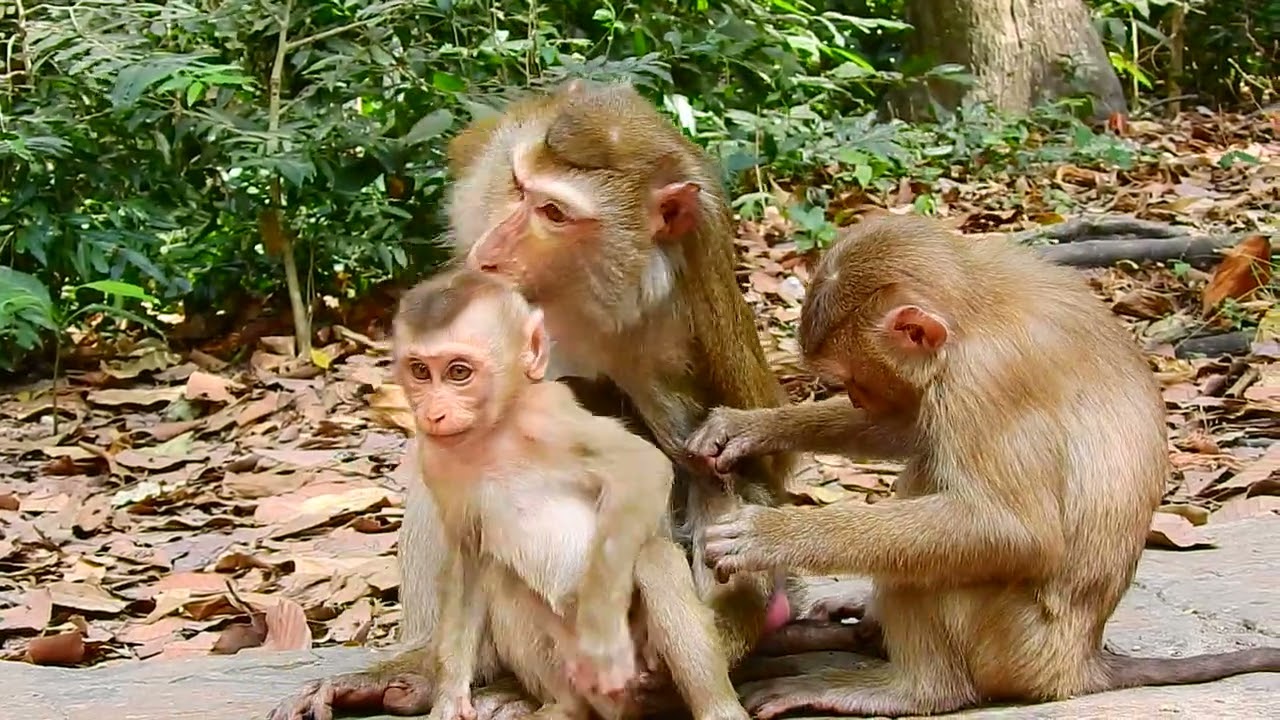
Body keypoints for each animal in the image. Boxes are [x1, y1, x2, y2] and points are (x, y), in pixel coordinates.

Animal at [268, 78, 797, 720]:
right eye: (519, 190)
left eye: (554, 213)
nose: (492, 250)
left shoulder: (672, 325)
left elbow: (715, 470)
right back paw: (423, 670)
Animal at [682, 213, 1280, 718]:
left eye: (854, 380)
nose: (856, 399)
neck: (974, 309)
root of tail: (1078, 664)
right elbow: (911, 426)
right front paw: (751, 427)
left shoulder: (987, 378)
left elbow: (1015, 531)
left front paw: (771, 534)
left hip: (1009, 640)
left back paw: (914, 690)